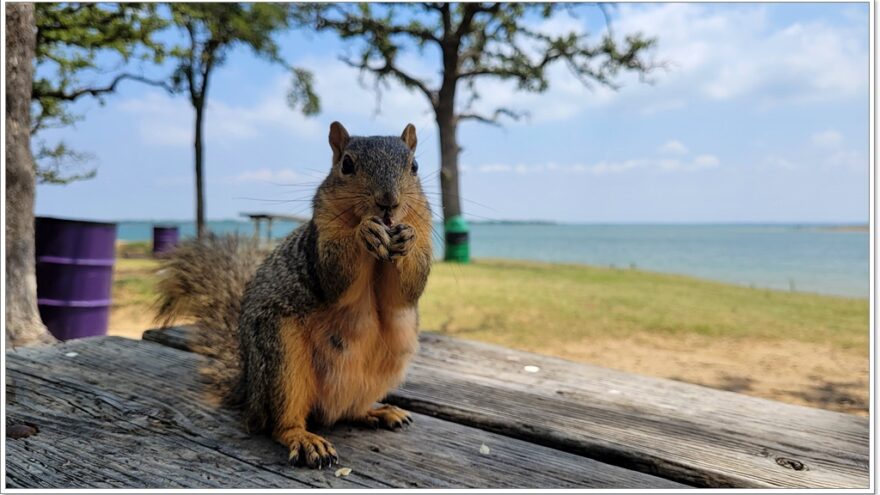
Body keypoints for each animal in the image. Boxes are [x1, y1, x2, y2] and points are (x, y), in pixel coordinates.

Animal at [157, 123, 436, 468]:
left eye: (414, 166)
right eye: (346, 165)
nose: (389, 202)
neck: (377, 256)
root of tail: (250, 391)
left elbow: (404, 293)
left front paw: (406, 239)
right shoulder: (319, 247)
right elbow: (336, 275)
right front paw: (363, 232)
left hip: (391, 355)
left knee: (348, 412)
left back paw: (377, 412)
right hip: (281, 357)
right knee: (278, 422)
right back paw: (304, 439)